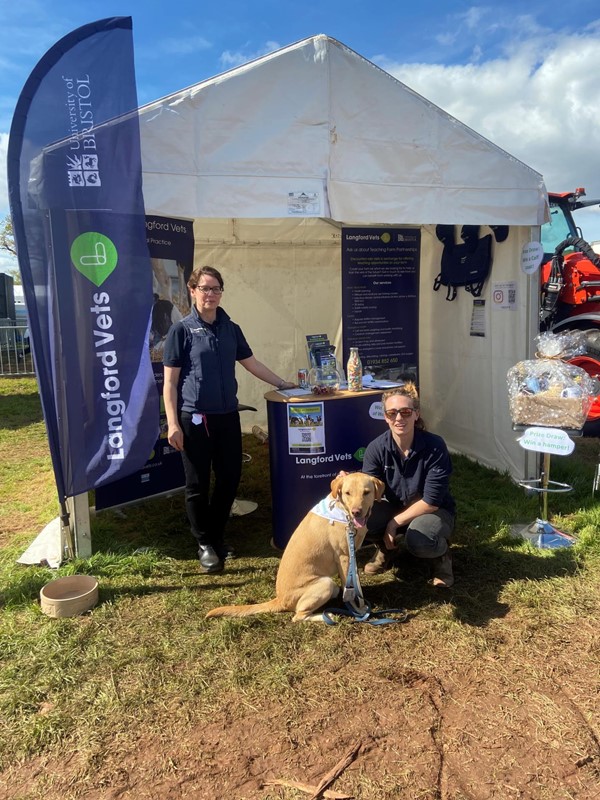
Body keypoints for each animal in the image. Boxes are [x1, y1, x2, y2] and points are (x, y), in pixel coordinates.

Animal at [206, 472, 384, 620]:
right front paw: (358, 609)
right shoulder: (345, 557)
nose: (356, 512)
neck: (343, 513)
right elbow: (351, 590)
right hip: (325, 583)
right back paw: (327, 616)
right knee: (298, 616)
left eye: (366, 492)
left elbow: (357, 584)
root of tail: (279, 600)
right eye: (347, 493)